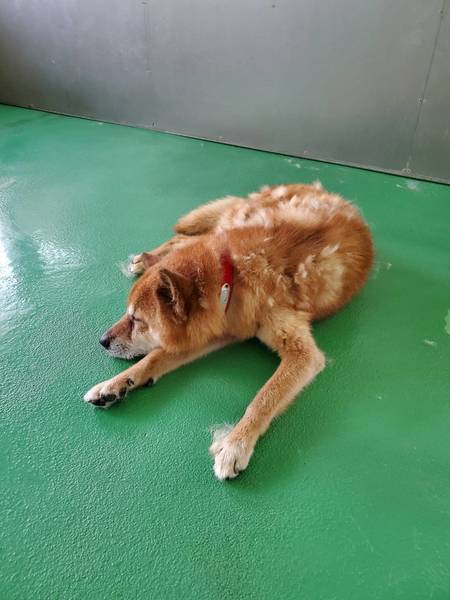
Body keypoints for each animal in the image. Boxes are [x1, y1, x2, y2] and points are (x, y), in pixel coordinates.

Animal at [84, 182, 374, 480]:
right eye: (129, 315)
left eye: (137, 320)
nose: (102, 340)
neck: (233, 279)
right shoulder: (217, 329)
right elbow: (155, 357)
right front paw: (114, 384)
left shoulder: (294, 352)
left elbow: (264, 398)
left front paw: (236, 443)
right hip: (235, 220)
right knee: (186, 238)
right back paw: (146, 259)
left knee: (189, 239)